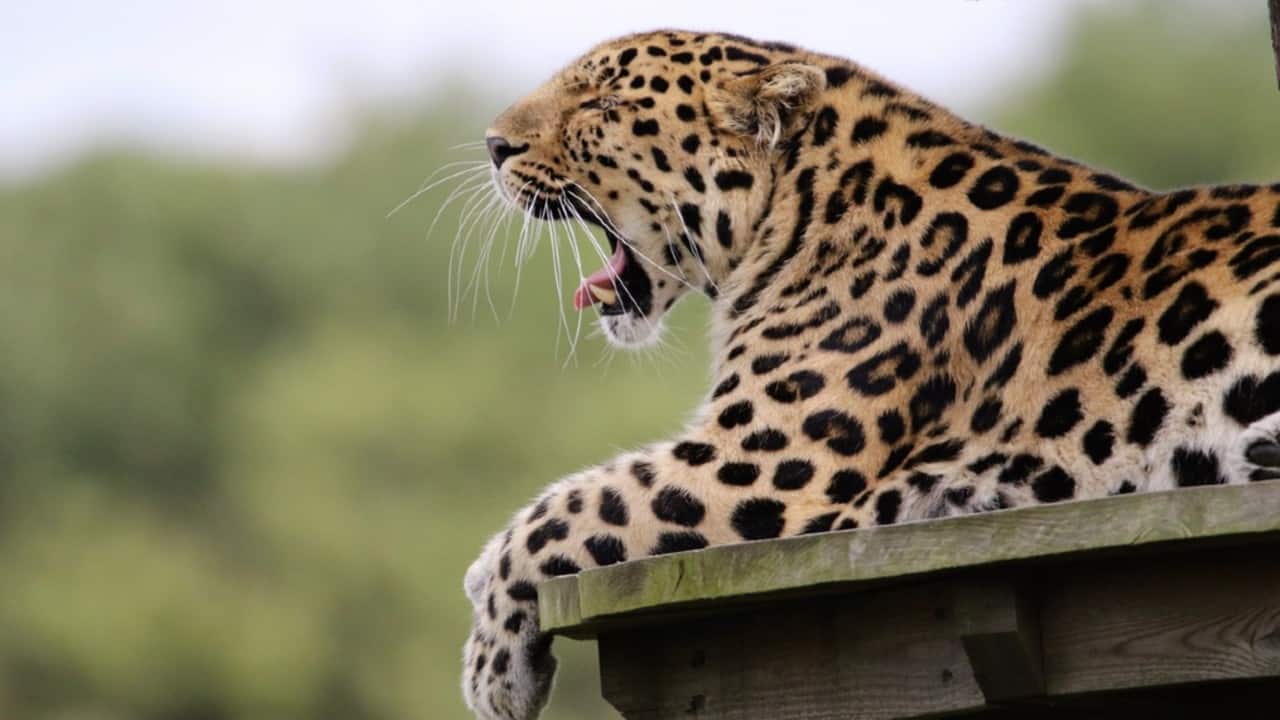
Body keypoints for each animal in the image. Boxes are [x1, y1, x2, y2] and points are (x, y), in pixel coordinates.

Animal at [459, 29, 1280, 720]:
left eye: (602, 105)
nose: (494, 144)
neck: (799, 210)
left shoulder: (760, 464)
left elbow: (568, 507)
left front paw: (491, 664)